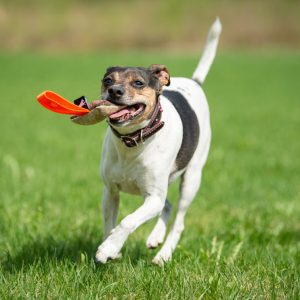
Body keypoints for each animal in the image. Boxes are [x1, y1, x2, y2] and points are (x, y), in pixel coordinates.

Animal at [74, 18, 221, 264]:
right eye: (107, 80)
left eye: (139, 83)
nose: (114, 90)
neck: (131, 142)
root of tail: (195, 82)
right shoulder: (110, 191)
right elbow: (110, 223)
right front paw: (112, 248)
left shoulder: (153, 198)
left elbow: (128, 221)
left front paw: (108, 248)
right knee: (167, 205)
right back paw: (155, 238)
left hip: (191, 179)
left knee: (178, 220)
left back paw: (163, 254)